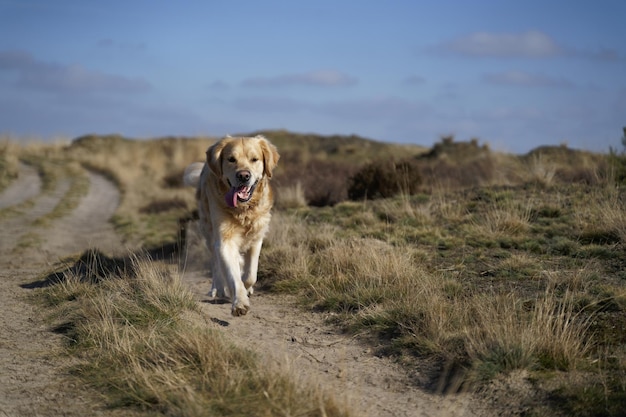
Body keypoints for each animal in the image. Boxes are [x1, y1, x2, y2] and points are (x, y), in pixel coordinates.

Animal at [184, 136, 280, 316]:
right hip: (208, 231)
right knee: (215, 263)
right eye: (231, 159)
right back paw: (218, 289)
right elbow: (233, 276)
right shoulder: (224, 240)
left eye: (254, 159)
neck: (243, 209)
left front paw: (246, 288)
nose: (243, 175)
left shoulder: (257, 237)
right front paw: (239, 302)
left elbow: (250, 275)